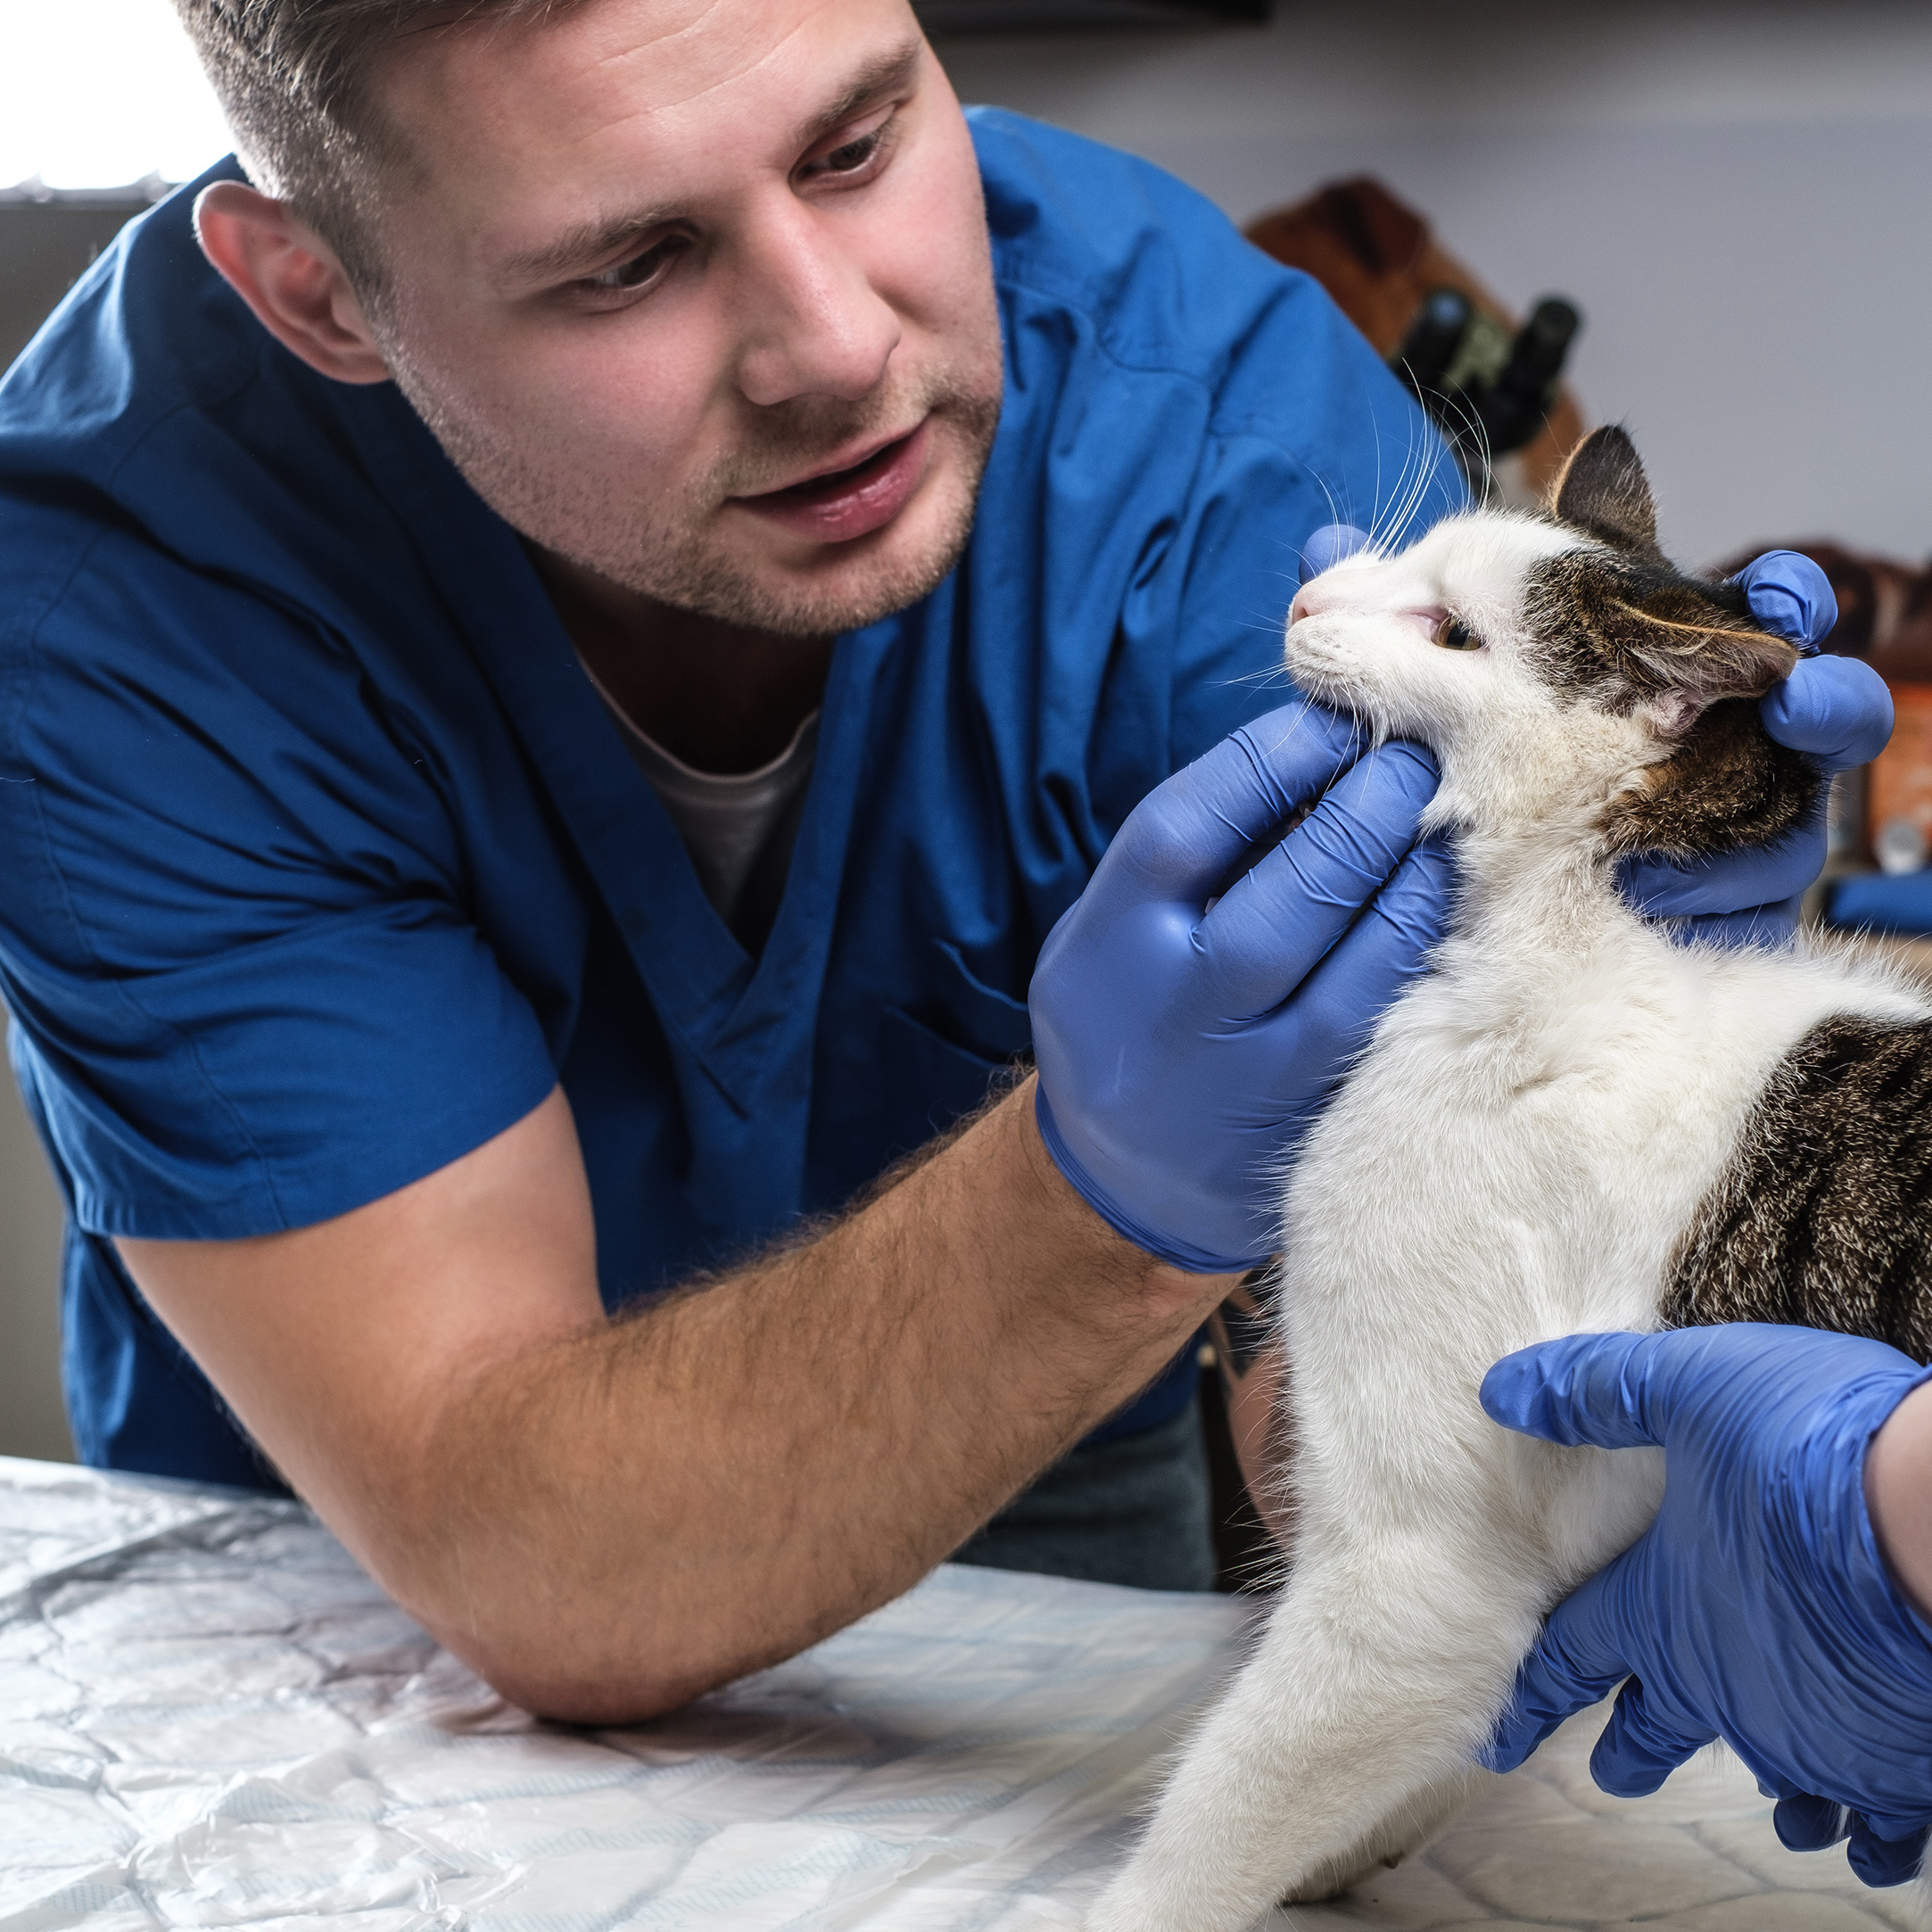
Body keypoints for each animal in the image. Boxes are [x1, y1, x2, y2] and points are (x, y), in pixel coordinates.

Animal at [1089, 426, 1932, 1932]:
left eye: (1451, 633)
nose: (1305, 597)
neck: (1568, 937)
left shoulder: (1414, 1572)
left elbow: (1231, 1801)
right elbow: (1446, 1739)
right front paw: (1360, 1845)